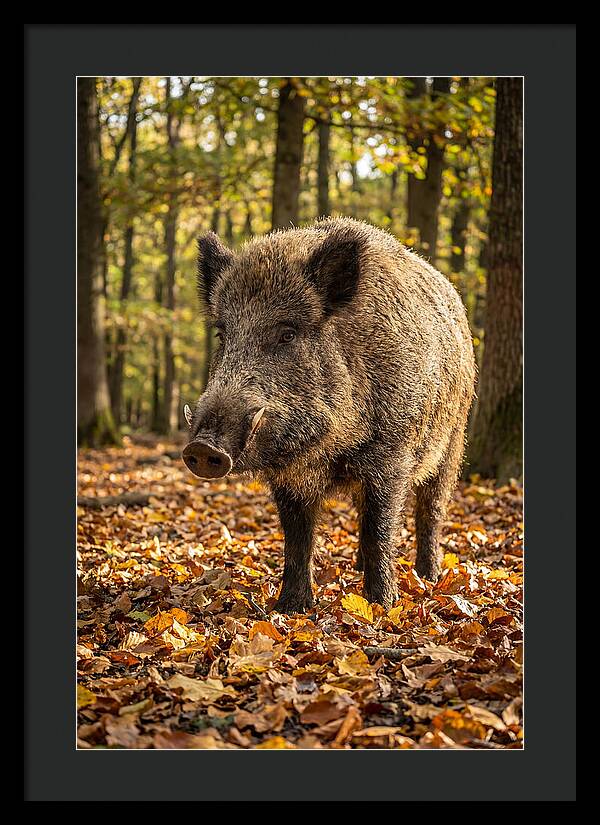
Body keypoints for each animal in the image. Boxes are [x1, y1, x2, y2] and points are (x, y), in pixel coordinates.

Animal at [182, 217, 476, 614]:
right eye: (222, 334)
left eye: (288, 334)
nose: (202, 448)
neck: (327, 449)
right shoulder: (289, 478)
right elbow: (297, 538)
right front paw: (290, 608)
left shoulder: (391, 456)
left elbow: (380, 529)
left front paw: (381, 606)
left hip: (453, 440)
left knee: (431, 510)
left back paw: (428, 577)